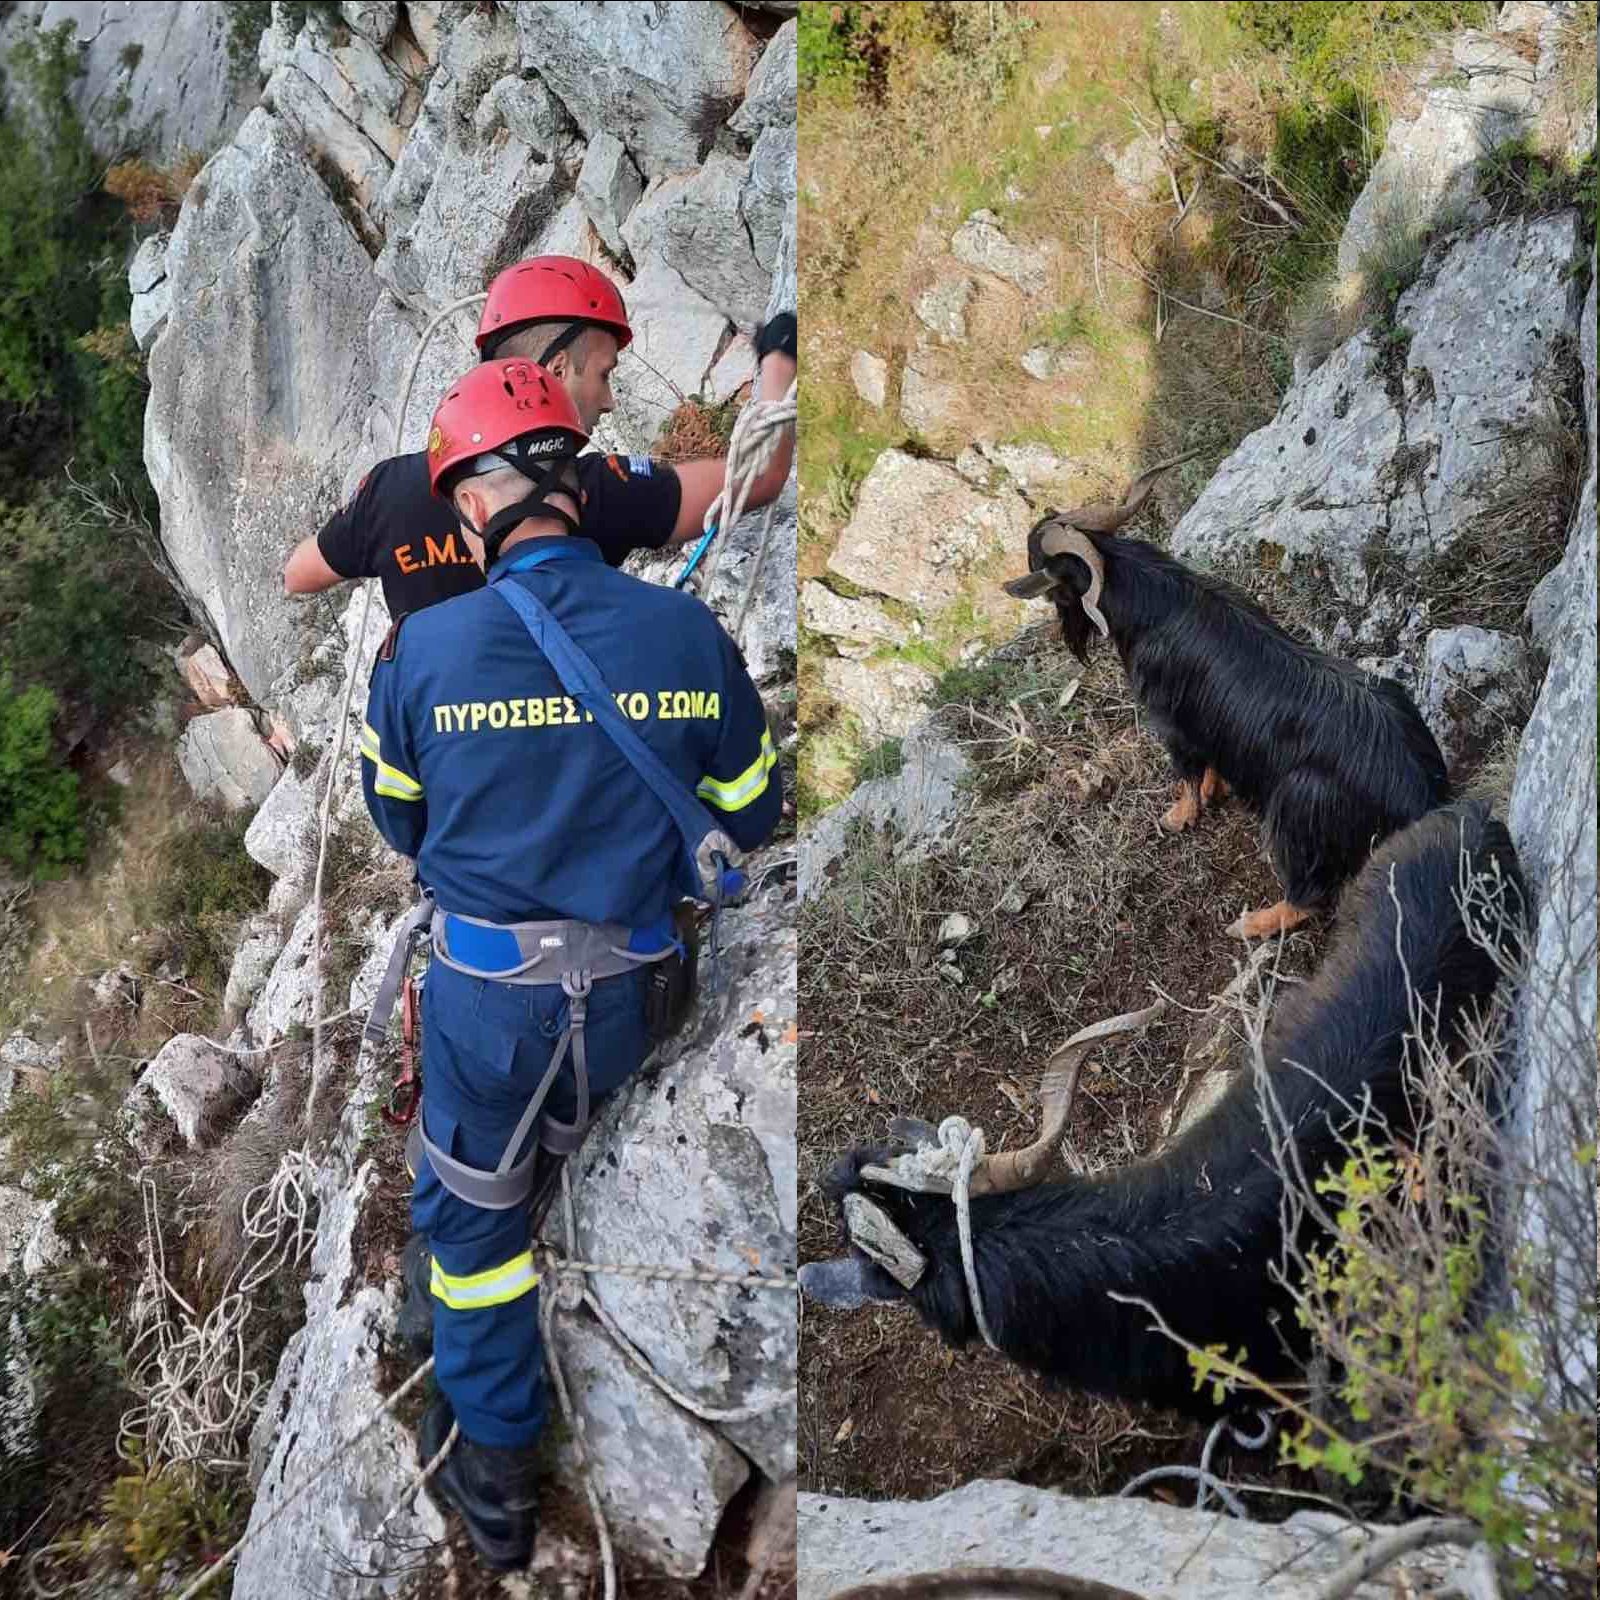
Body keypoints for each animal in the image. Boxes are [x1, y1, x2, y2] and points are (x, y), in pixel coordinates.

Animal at [1004, 460, 1459, 934]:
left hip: (1299, 807)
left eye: (1037, 562)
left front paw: (1181, 815)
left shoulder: (1170, 723)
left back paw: (1251, 924)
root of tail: (1419, 798)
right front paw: (1213, 789)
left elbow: (1186, 774)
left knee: (1308, 897)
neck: (1154, 601)